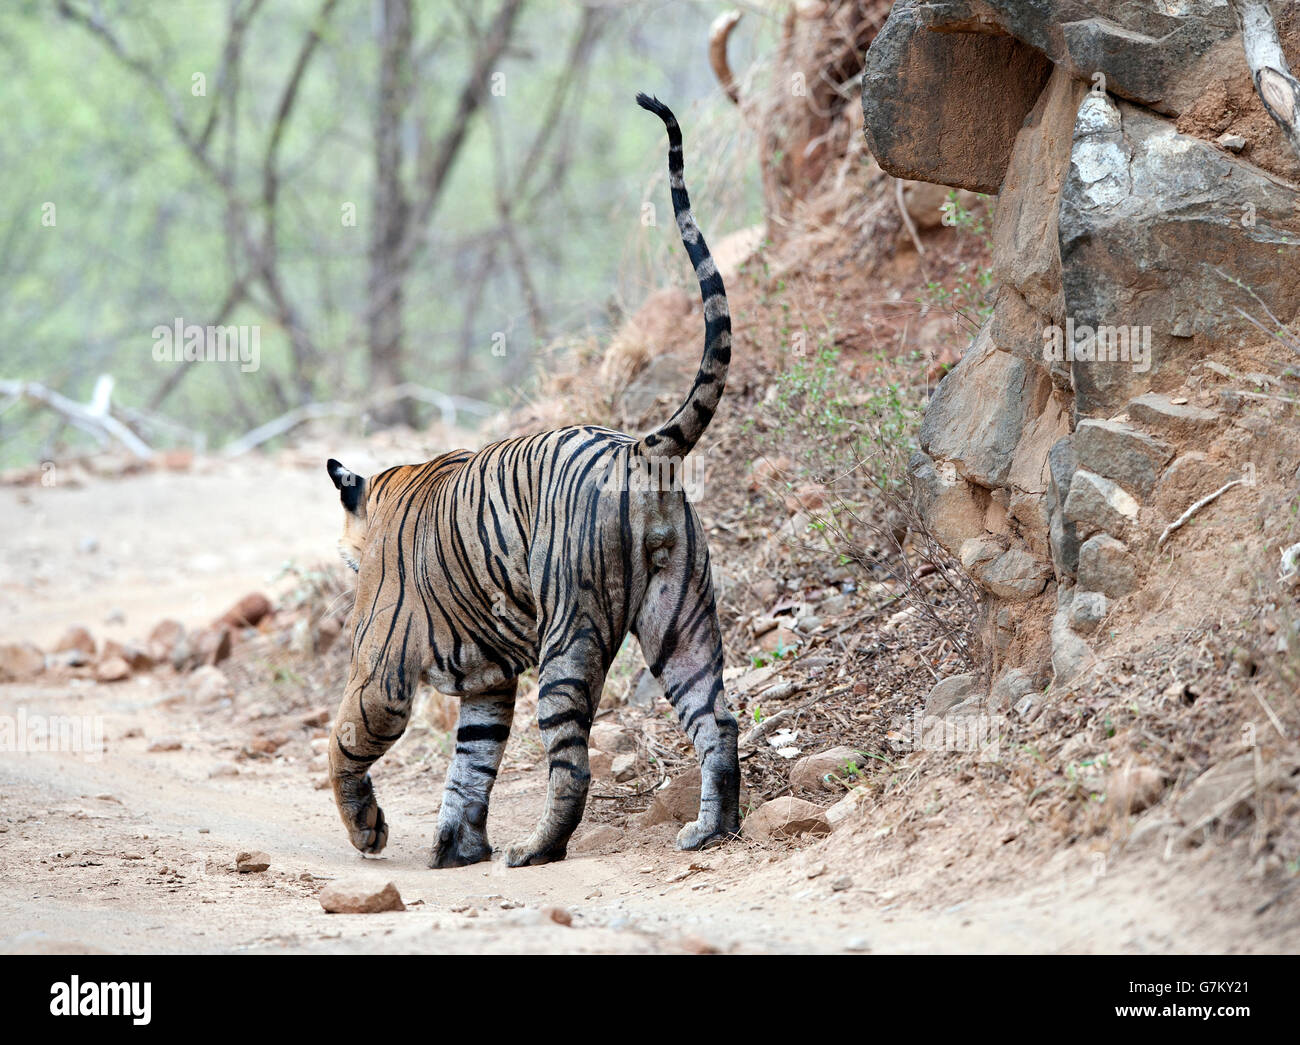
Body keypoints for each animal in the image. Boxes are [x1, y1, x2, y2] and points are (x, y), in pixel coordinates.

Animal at [322, 93, 743, 868]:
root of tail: (640, 446)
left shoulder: (381, 668)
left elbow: (342, 745)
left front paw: (370, 830)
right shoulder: (488, 683)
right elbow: (471, 763)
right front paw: (456, 846)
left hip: (568, 637)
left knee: (572, 763)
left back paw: (538, 850)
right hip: (680, 620)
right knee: (718, 719)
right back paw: (711, 829)